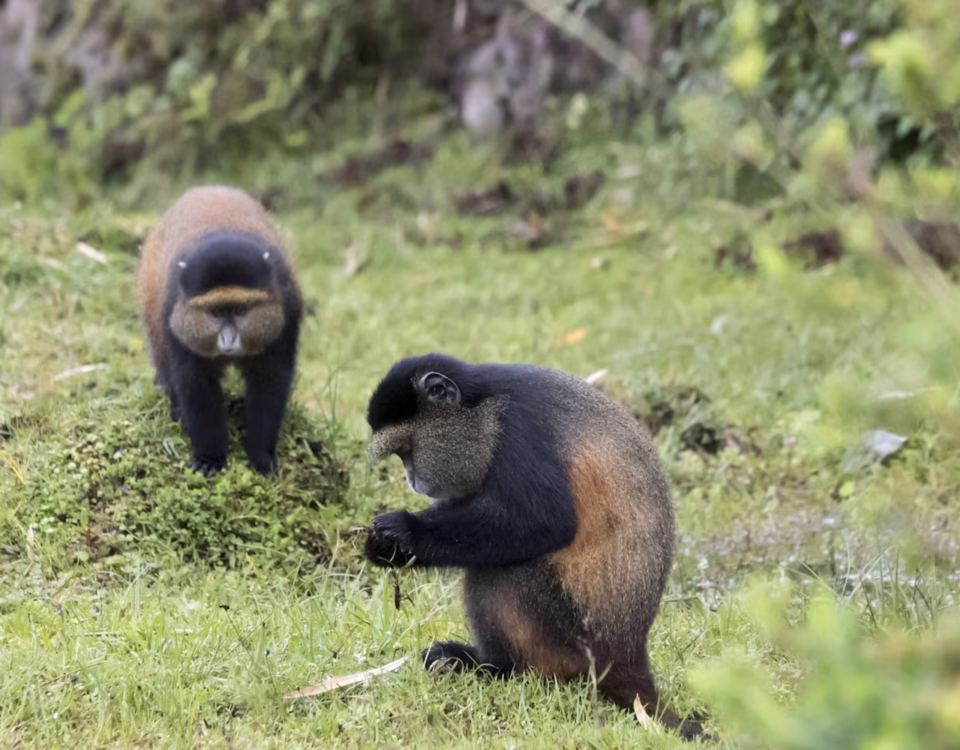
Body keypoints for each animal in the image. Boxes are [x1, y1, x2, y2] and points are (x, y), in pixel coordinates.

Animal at [138, 185, 303, 476]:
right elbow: (196, 384)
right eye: (215, 313)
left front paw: (261, 455)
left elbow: (270, 380)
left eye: (239, 310)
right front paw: (209, 458)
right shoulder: (176, 319)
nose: (228, 339)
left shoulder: (287, 309)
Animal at [363, 353, 703, 739]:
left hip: (568, 639)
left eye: (407, 450)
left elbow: (544, 522)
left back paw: (497, 668)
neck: (487, 405)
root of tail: (628, 654)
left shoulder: (519, 433)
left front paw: (404, 534)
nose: (412, 479)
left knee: (498, 574)